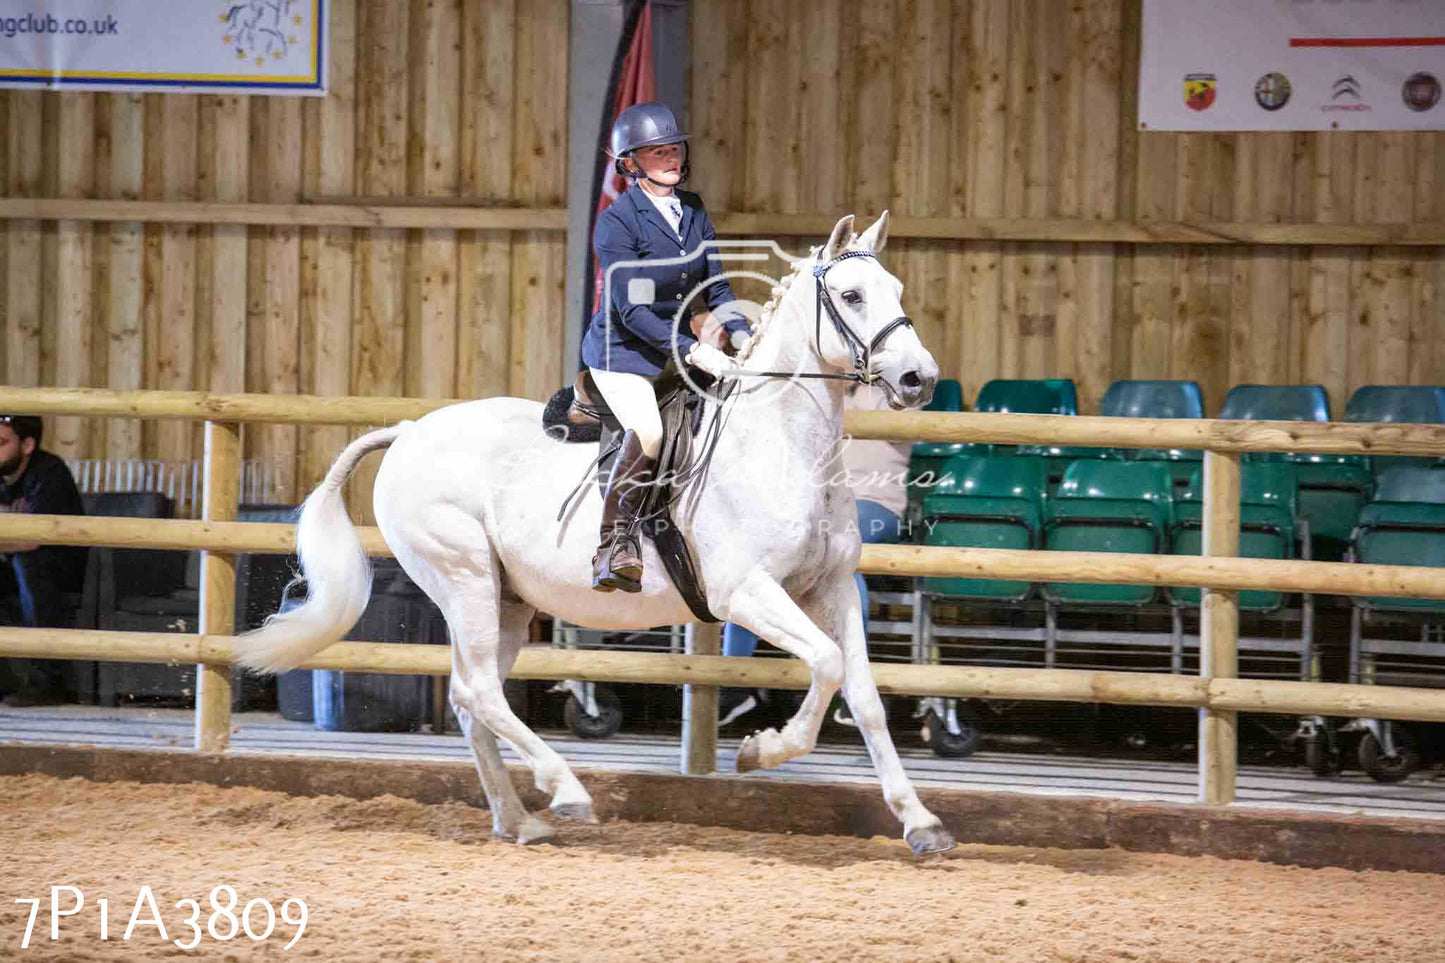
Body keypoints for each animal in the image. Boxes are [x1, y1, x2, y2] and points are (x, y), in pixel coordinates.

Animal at [235, 212, 953, 856]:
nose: (919, 378)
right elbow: (826, 664)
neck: (778, 442)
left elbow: (863, 694)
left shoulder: (831, 589)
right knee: (479, 691)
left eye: (896, 289)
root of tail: (410, 431)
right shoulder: (746, 592)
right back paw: (567, 790)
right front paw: (762, 750)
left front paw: (919, 821)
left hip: (504, 599)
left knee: (471, 696)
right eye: (852, 295)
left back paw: (521, 821)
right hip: (464, 577)